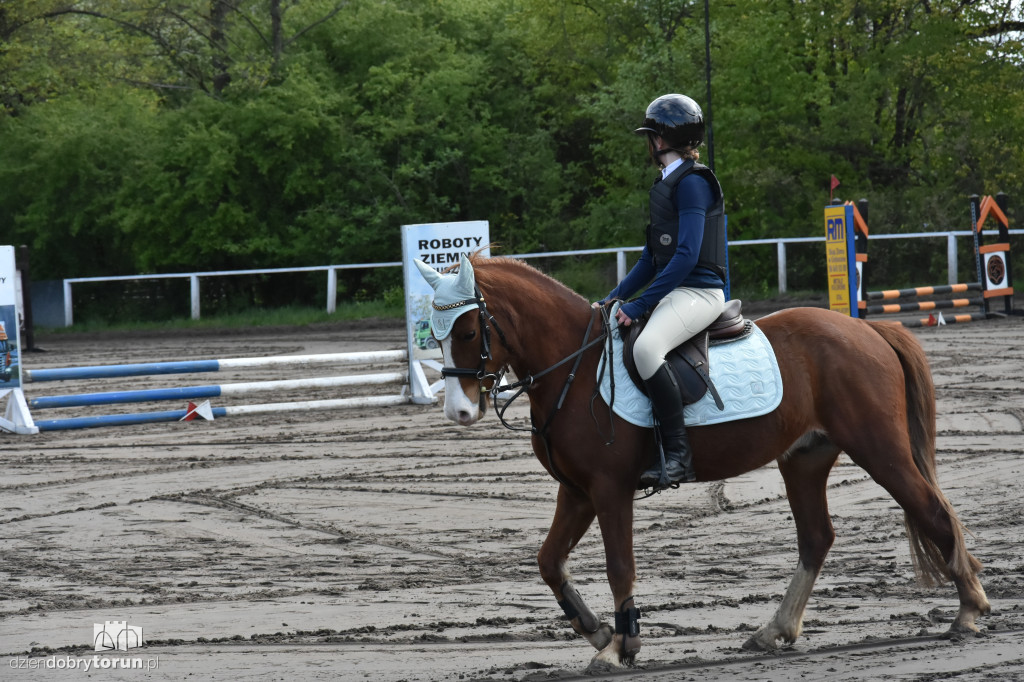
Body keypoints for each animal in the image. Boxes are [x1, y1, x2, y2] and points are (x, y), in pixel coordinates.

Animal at [419, 251, 987, 667]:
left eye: (467, 332)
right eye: (433, 333)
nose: (459, 411)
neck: (574, 369)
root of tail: (867, 330)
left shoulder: (609, 488)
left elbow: (619, 565)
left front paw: (620, 646)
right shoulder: (576, 490)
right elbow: (548, 560)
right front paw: (598, 630)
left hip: (879, 448)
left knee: (932, 511)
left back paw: (969, 611)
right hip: (804, 459)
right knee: (817, 538)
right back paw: (774, 631)